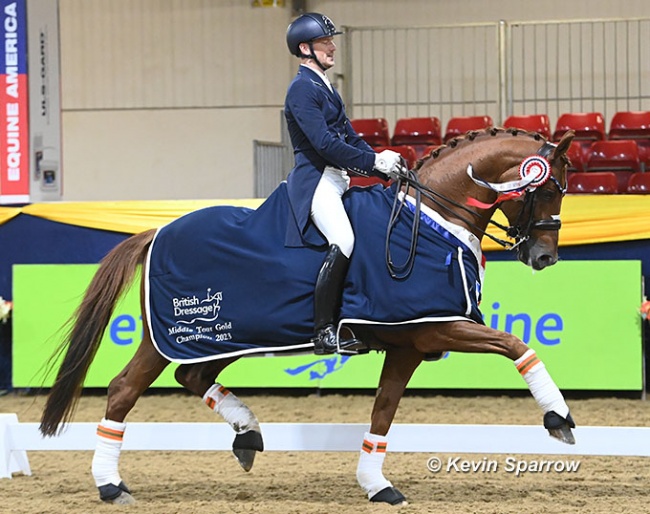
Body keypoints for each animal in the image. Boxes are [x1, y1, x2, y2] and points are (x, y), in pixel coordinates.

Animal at [39, 127, 572, 504]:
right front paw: (559, 417)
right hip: (172, 337)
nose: (545, 257)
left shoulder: (409, 344)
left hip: (225, 338)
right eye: (548, 188)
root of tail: (156, 232)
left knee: (193, 377)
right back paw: (111, 485)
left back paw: (247, 435)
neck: (430, 220)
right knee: (123, 390)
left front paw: (376, 485)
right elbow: (517, 345)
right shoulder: (437, 325)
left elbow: (384, 412)